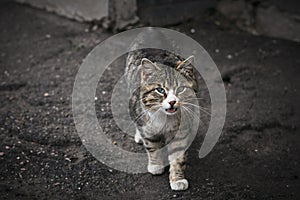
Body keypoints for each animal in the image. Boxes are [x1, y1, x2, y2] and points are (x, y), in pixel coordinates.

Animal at [125, 48, 198, 191]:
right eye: (160, 90)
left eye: (181, 89)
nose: (172, 102)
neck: (166, 118)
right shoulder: (147, 127)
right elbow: (152, 146)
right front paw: (155, 165)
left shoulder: (181, 131)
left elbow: (177, 156)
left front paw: (177, 179)